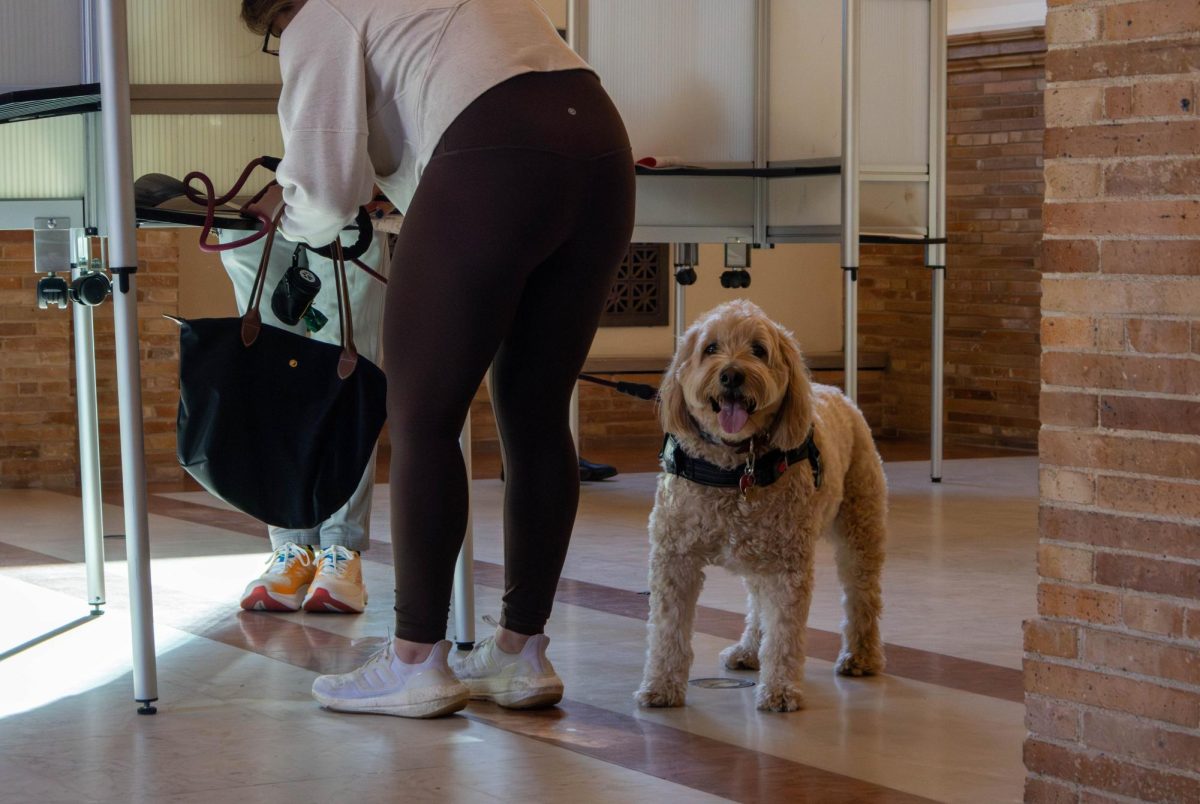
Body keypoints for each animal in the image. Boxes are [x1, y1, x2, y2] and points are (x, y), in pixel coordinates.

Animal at [638, 301, 883, 710]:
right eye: (711, 348)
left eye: (758, 350)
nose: (732, 375)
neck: (735, 467)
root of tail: (833, 390)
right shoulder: (675, 559)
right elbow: (668, 630)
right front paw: (661, 685)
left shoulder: (788, 567)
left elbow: (784, 631)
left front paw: (781, 689)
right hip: (757, 553)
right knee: (757, 604)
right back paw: (749, 650)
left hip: (859, 529)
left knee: (862, 595)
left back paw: (861, 656)